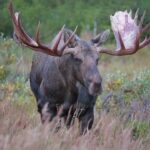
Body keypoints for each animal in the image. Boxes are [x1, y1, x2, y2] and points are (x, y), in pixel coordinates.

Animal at [8, 2, 150, 134]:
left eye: (98, 59)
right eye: (77, 58)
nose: (96, 84)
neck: (69, 94)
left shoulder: (87, 109)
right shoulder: (47, 107)